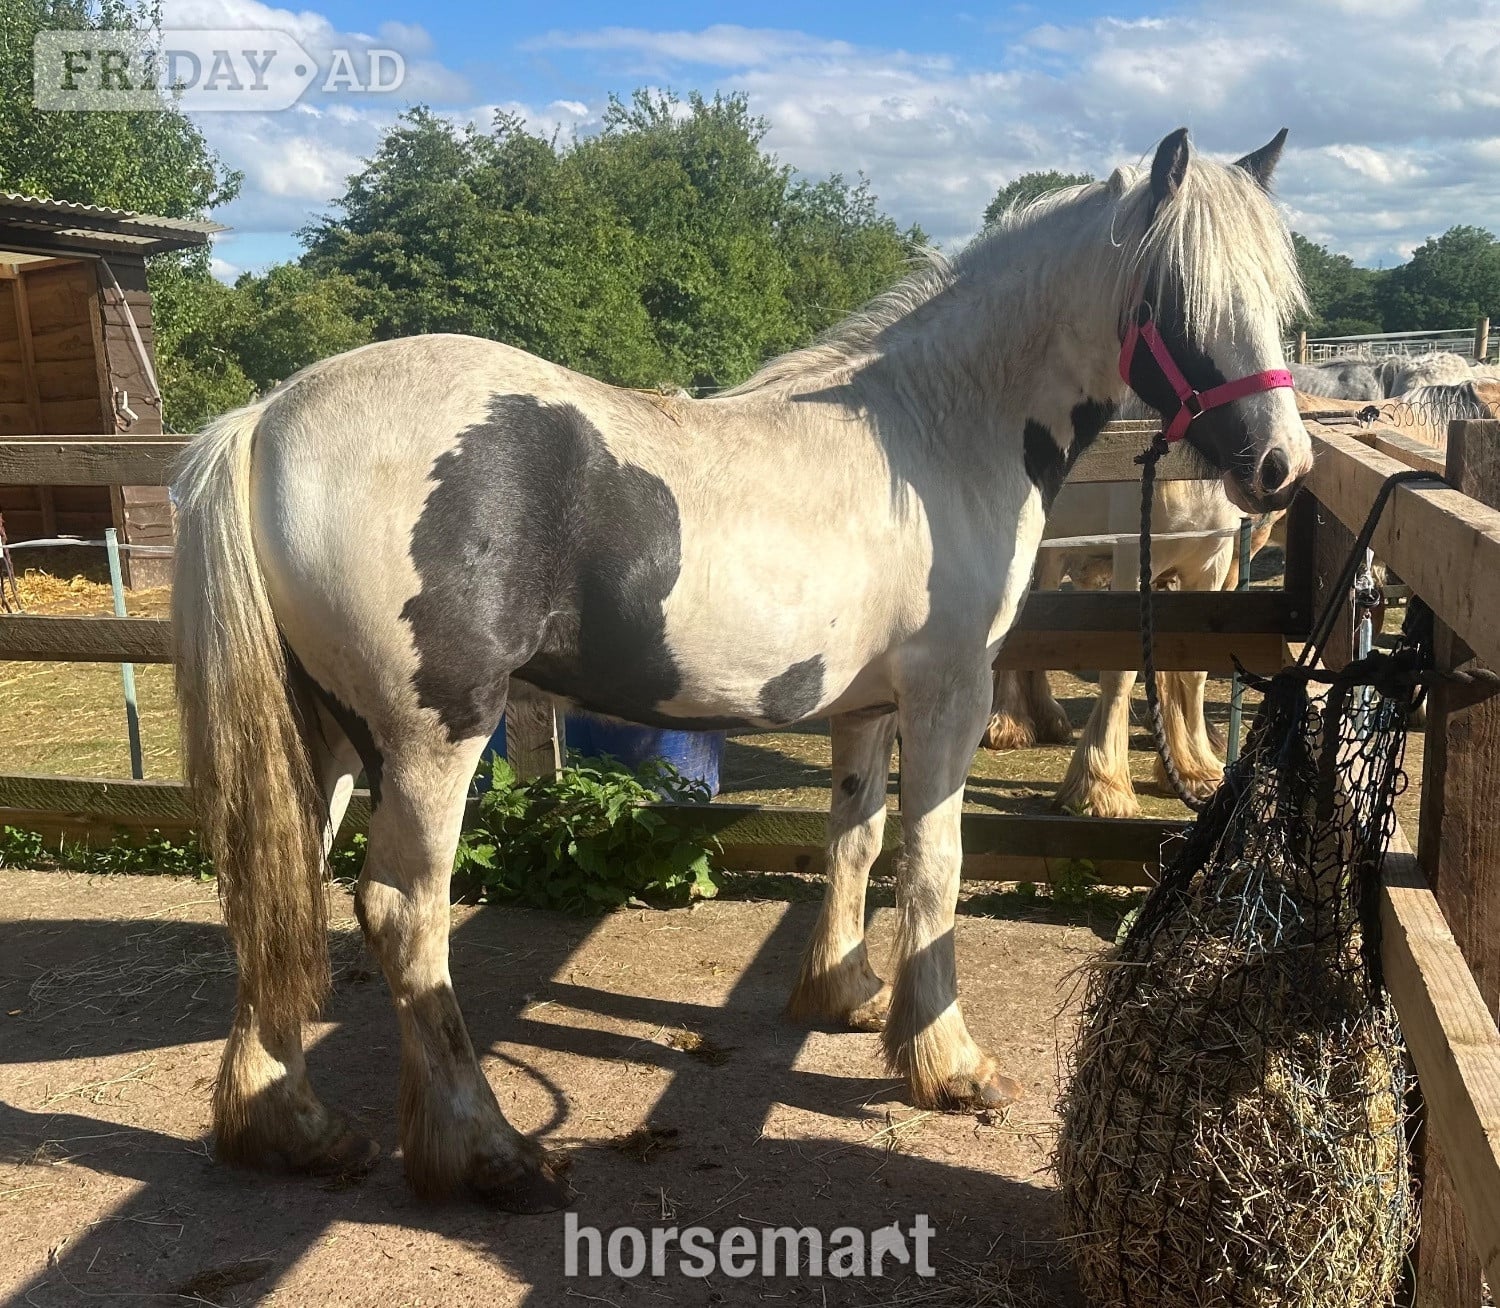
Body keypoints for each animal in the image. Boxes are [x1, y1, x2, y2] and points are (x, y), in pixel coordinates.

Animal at [171, 128, 1311, 1211]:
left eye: (1278, 301)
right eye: (1179, 297)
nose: (1281, 468)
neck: (935, 431)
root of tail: (268, 419)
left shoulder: (868, 705)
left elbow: (855, 840)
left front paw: (842, 995)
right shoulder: (949, 692)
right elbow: (933, 863)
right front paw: (946, 1062)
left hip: (328, 738)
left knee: (274, 893)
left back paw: (289, 1128)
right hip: (429, 739)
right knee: (404, 916)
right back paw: (487, 1153)